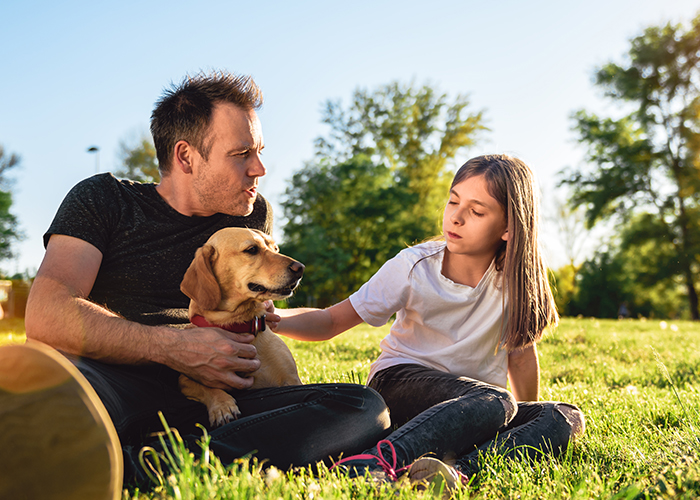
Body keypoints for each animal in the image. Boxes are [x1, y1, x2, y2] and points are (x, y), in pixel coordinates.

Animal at [178, 227, 304, 426]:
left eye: (275, 248)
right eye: (252, 250)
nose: (300, 268)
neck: (239, 323)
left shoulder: (292, 379)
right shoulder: (185, 379)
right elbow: (207, 387)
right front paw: (222, 406)